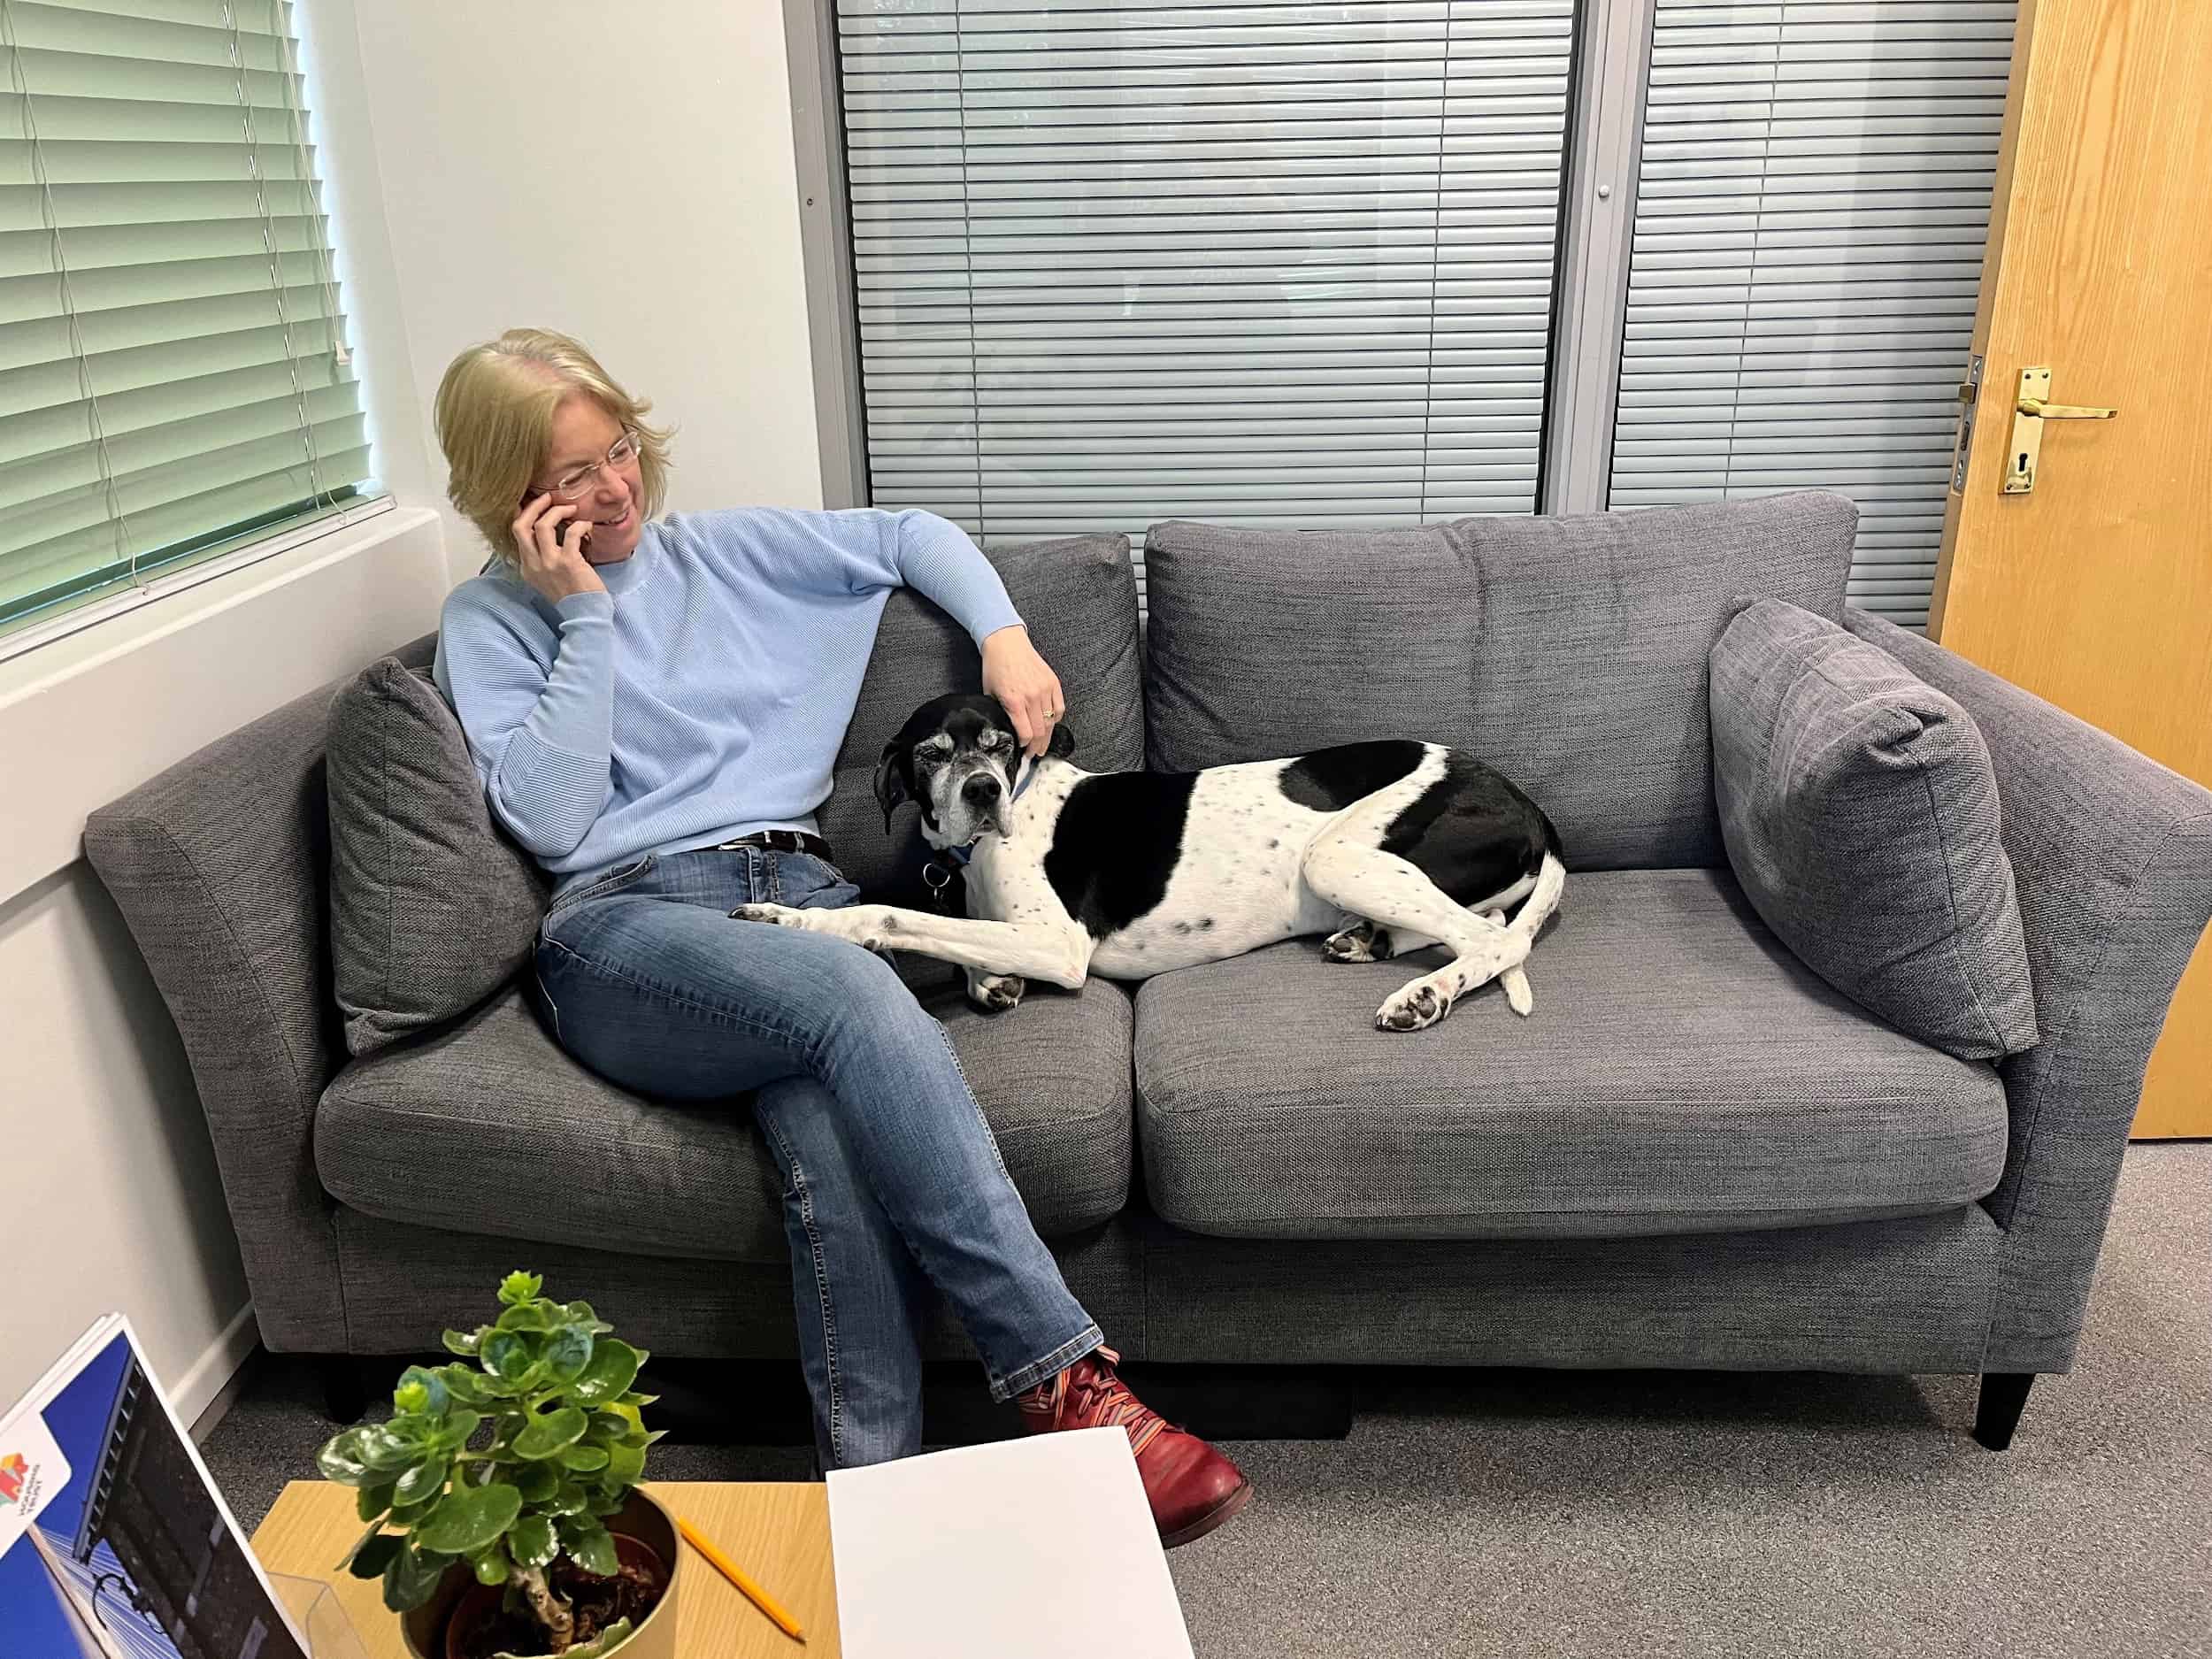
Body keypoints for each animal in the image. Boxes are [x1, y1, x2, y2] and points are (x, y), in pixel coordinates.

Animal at [735, 695, 1565, 1031]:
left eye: (1000, 744)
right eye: (932, 754)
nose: (981, 791)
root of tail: (1530, 807)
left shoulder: (1059, 943)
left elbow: (892, 915)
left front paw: (791, 920)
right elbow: (965, 941)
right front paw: (991, 981)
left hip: (1337, 856)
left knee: (1492, 940)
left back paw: (1422, 996)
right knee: (1483, 925)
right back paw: (1367, 941)